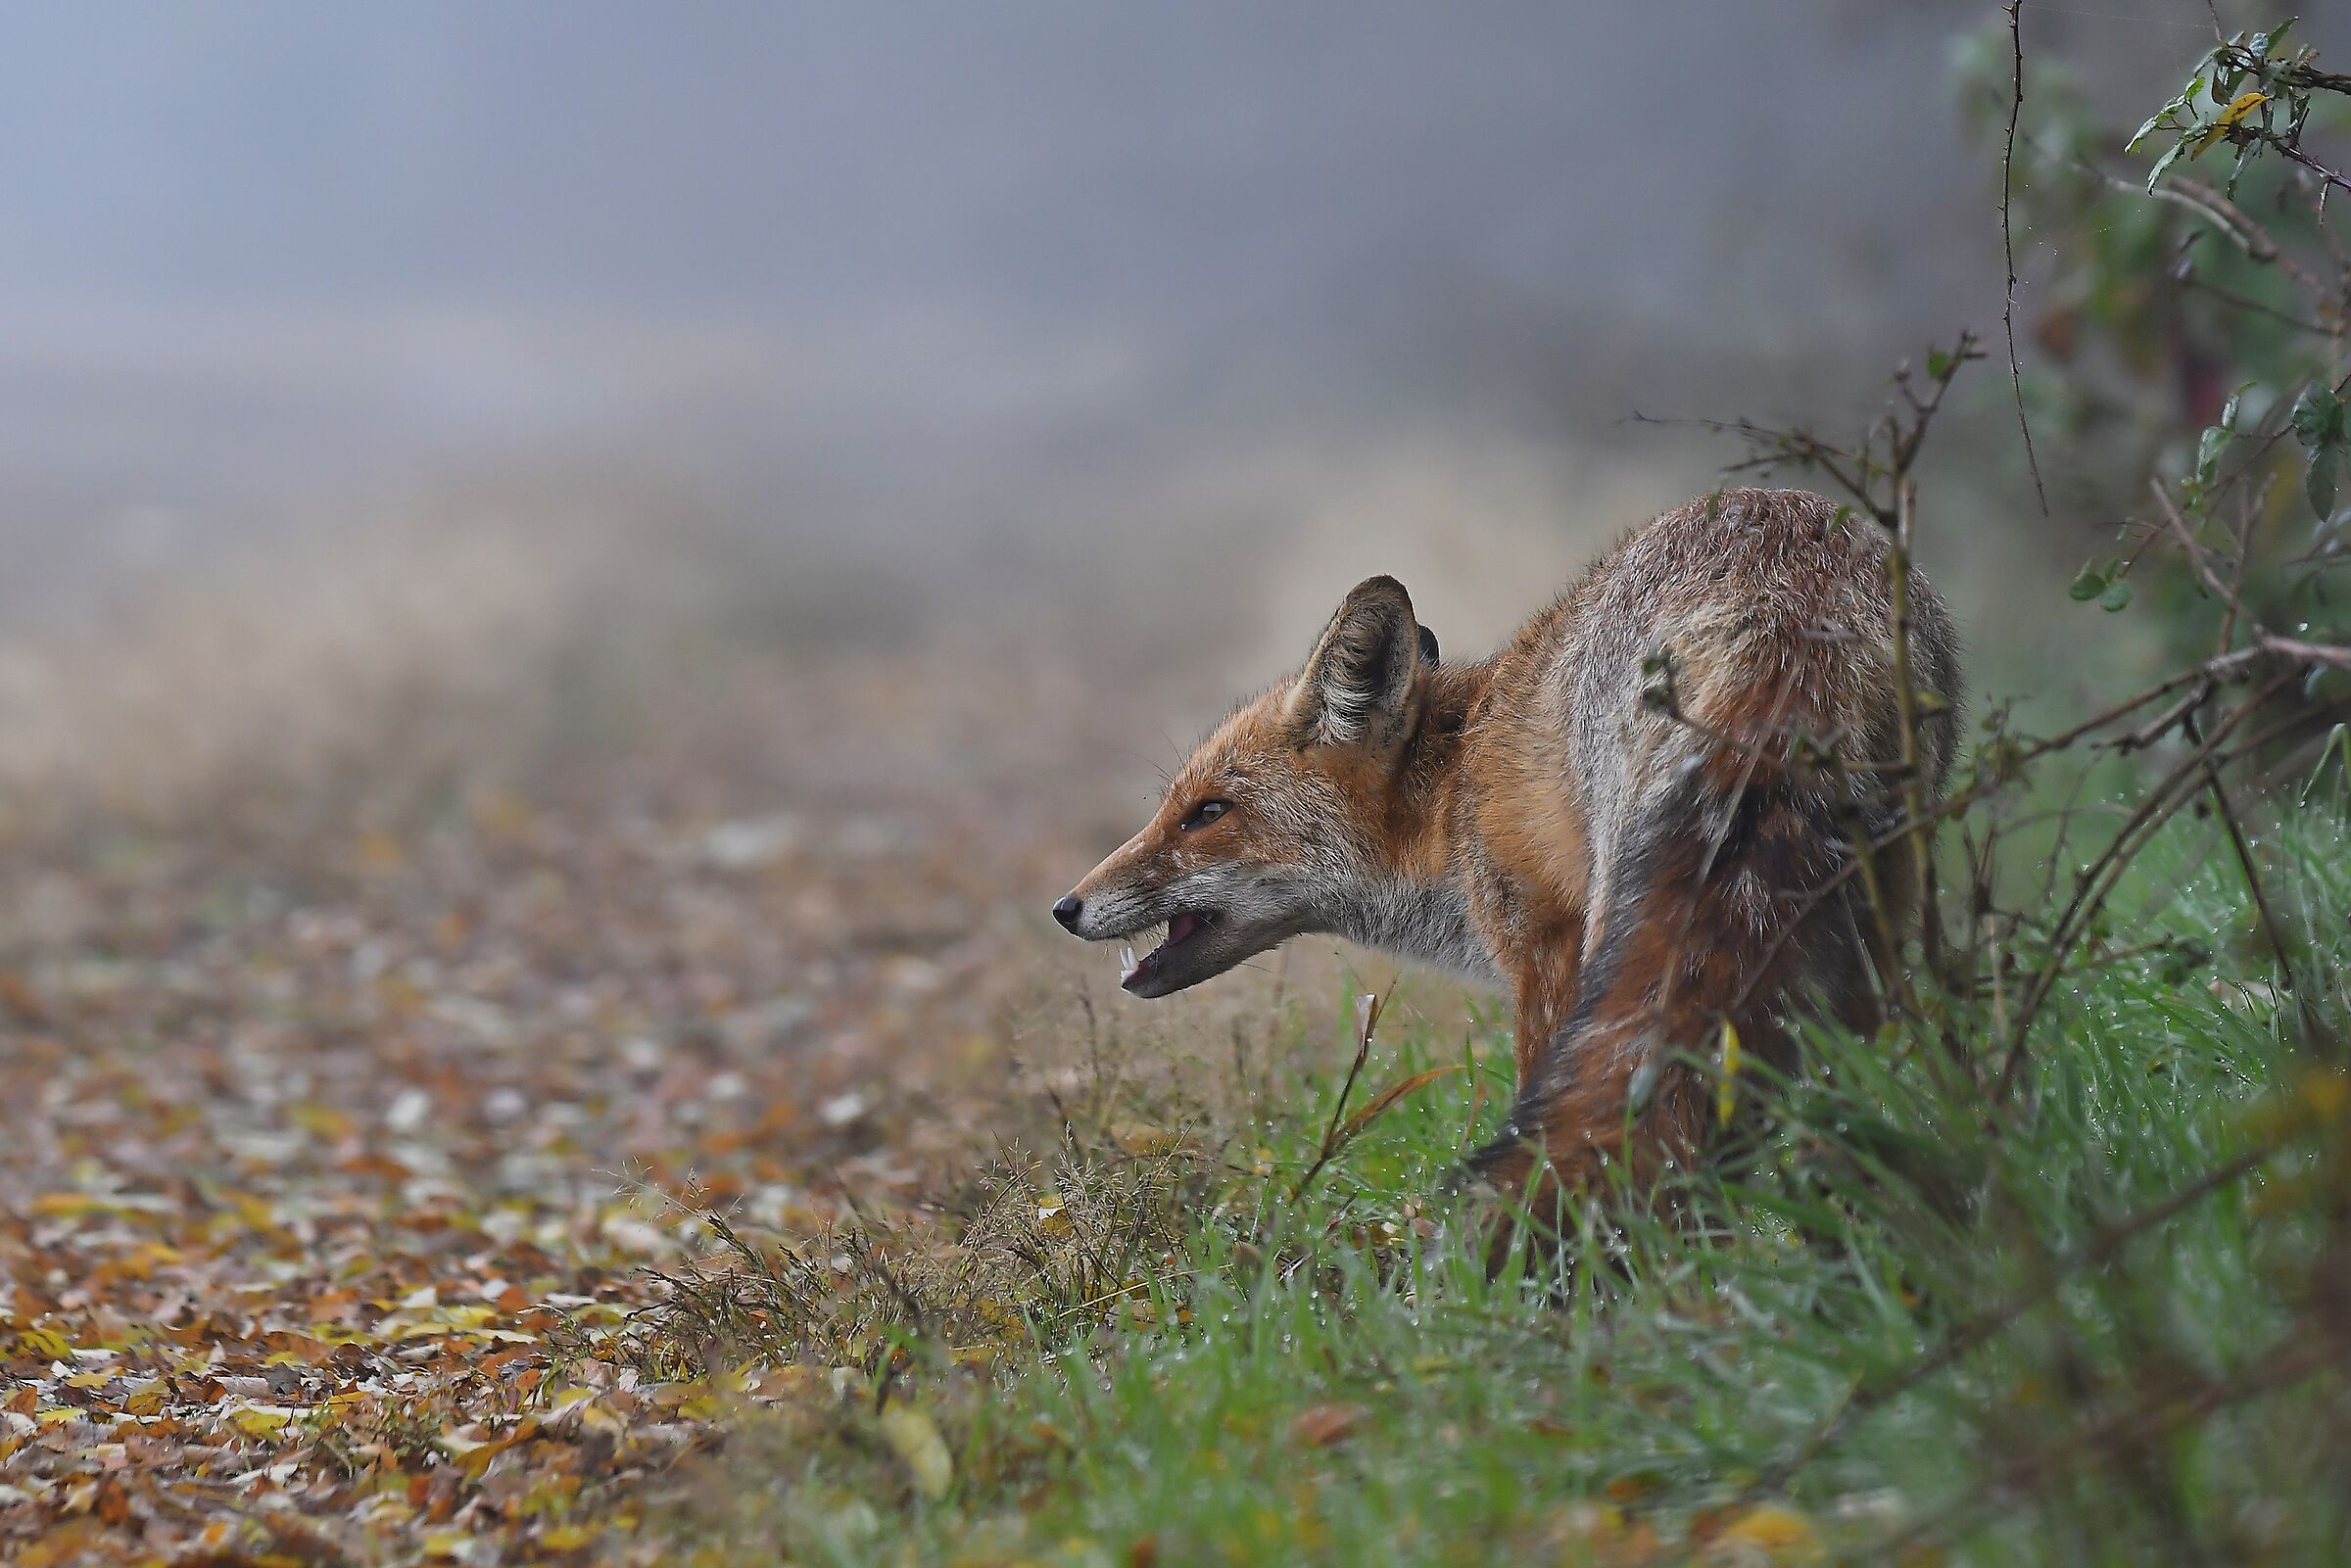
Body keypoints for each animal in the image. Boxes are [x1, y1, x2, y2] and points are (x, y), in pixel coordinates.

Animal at [1052, 487, 1961, 1220]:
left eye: (1208, 812)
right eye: (1175, 806)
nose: (1065, 907)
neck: (1455, 791)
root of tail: (1785, 595)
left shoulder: (1543, 950)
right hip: (1873, 927)